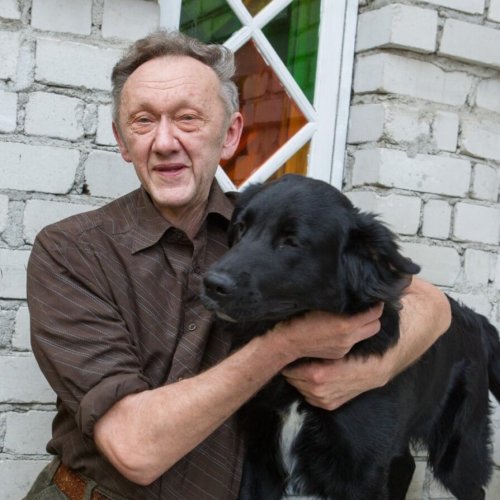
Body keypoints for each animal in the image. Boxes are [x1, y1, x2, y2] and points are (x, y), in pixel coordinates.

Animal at [201, 174, 500, 500]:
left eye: (291, 242)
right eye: (241, 228)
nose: (211, 284)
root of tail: (477, 320)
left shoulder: (362, 470)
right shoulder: (261, 454)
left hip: (458, 454)